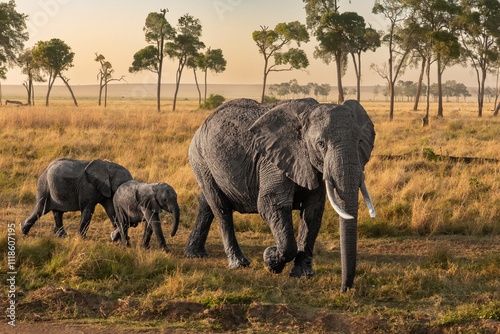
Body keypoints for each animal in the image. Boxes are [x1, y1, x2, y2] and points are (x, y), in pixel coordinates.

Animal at [186, 98, 376, 290]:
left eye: (360, 141)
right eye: (321, 144)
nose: (345, 289)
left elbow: (313, 212)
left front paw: (303, 275)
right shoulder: (273, 161)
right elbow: (271, 204)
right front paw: (270, 260)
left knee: (206, 205)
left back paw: (195, 254)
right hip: (200, 159)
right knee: (220, 208)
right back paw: (239, 264)